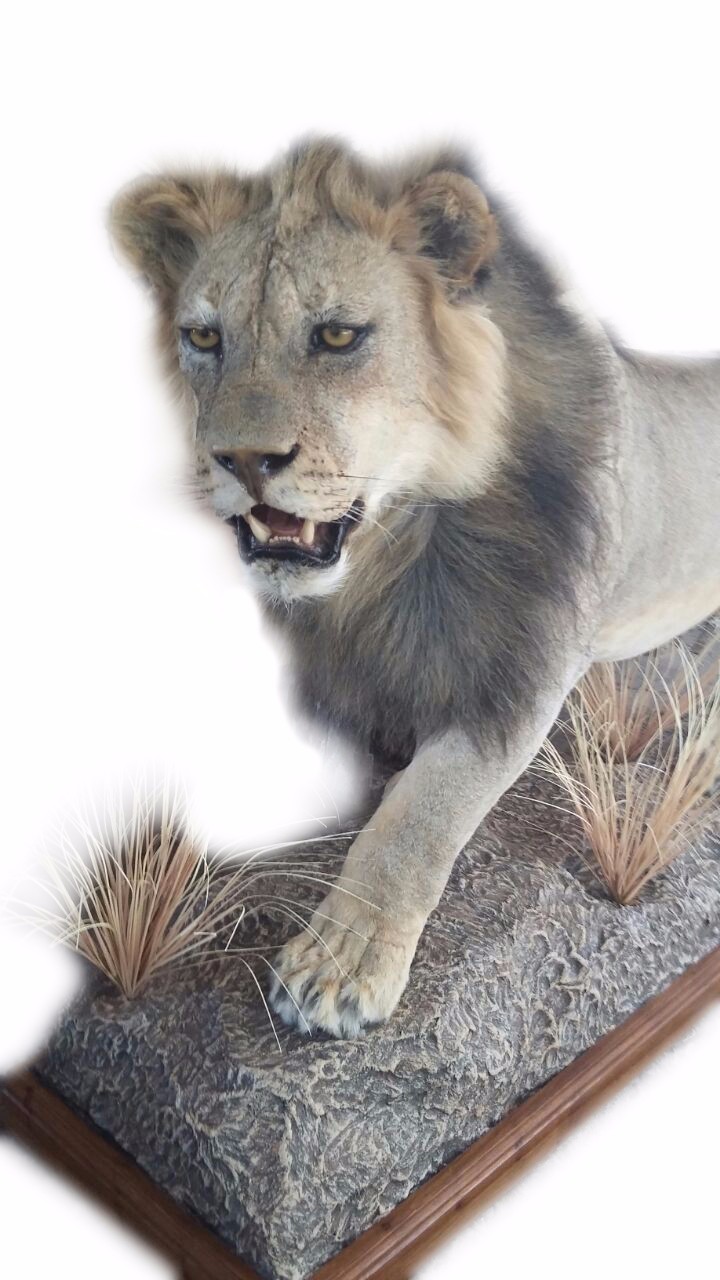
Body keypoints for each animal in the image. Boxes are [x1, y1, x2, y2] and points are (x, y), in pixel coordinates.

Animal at [111, 139, 720, 1037]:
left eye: (336, 334)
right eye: (204, 337)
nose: (243, 461)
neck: (389, 556)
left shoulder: (524, 665)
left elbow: (423, 812)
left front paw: (339, 967)